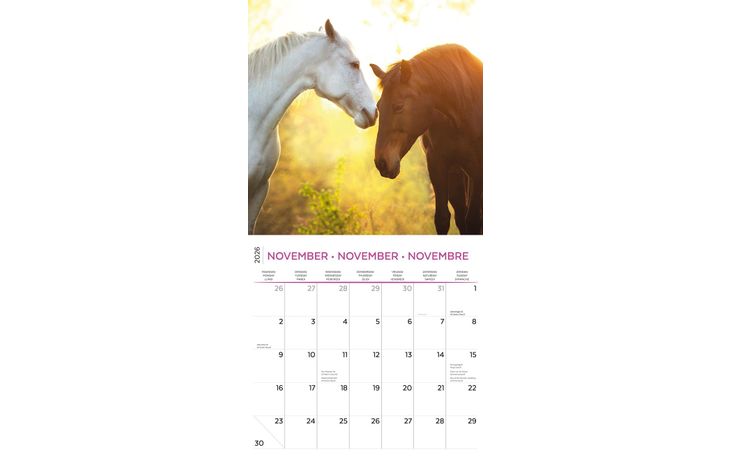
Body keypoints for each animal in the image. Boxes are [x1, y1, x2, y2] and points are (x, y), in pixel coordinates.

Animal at [370, 44, 482, 234]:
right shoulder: (438, 164)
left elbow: (474, 221)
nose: (382, 163)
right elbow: (442, 219)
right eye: (379, 106)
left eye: (398, 106)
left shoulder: (478, 171)